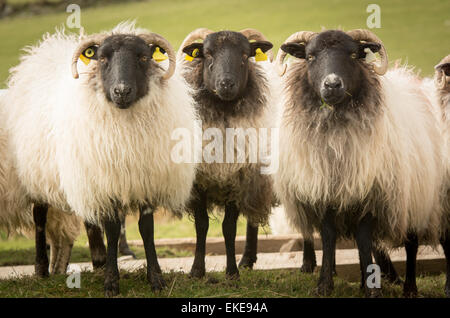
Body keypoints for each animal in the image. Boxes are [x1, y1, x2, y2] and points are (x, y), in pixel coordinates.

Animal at [2, 21, 198, 296]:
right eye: (102, 58)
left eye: (143, 57)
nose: (122, 91)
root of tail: (40, 54)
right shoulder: (108, 184)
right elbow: (113, 230)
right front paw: (111, 283)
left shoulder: (143, 181)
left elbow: (146, 230)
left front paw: (155, 279)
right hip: (37, 174)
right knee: (39, 217)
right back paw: (41, 269)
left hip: (84, 175)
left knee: (88, 219)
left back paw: (98, 261)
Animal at [177, 28, 276, 280]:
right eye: (208, 54)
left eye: (244, 55)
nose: (226, 84)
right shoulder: (199, 182)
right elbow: (201, 225)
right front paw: (196, 270)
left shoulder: (237, 179)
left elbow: (228, 228)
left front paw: (231, 273)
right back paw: (247, 260)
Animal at [272, 28, 444, 296]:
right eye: (310, 56)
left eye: (354, 55)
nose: (332, 84)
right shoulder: (326, 193)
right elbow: (329, 238)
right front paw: (325, 284)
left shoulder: (371, 194)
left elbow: (363, 240)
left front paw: (371, 289)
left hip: (415, 198)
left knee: (411, 244)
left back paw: (409, 288)